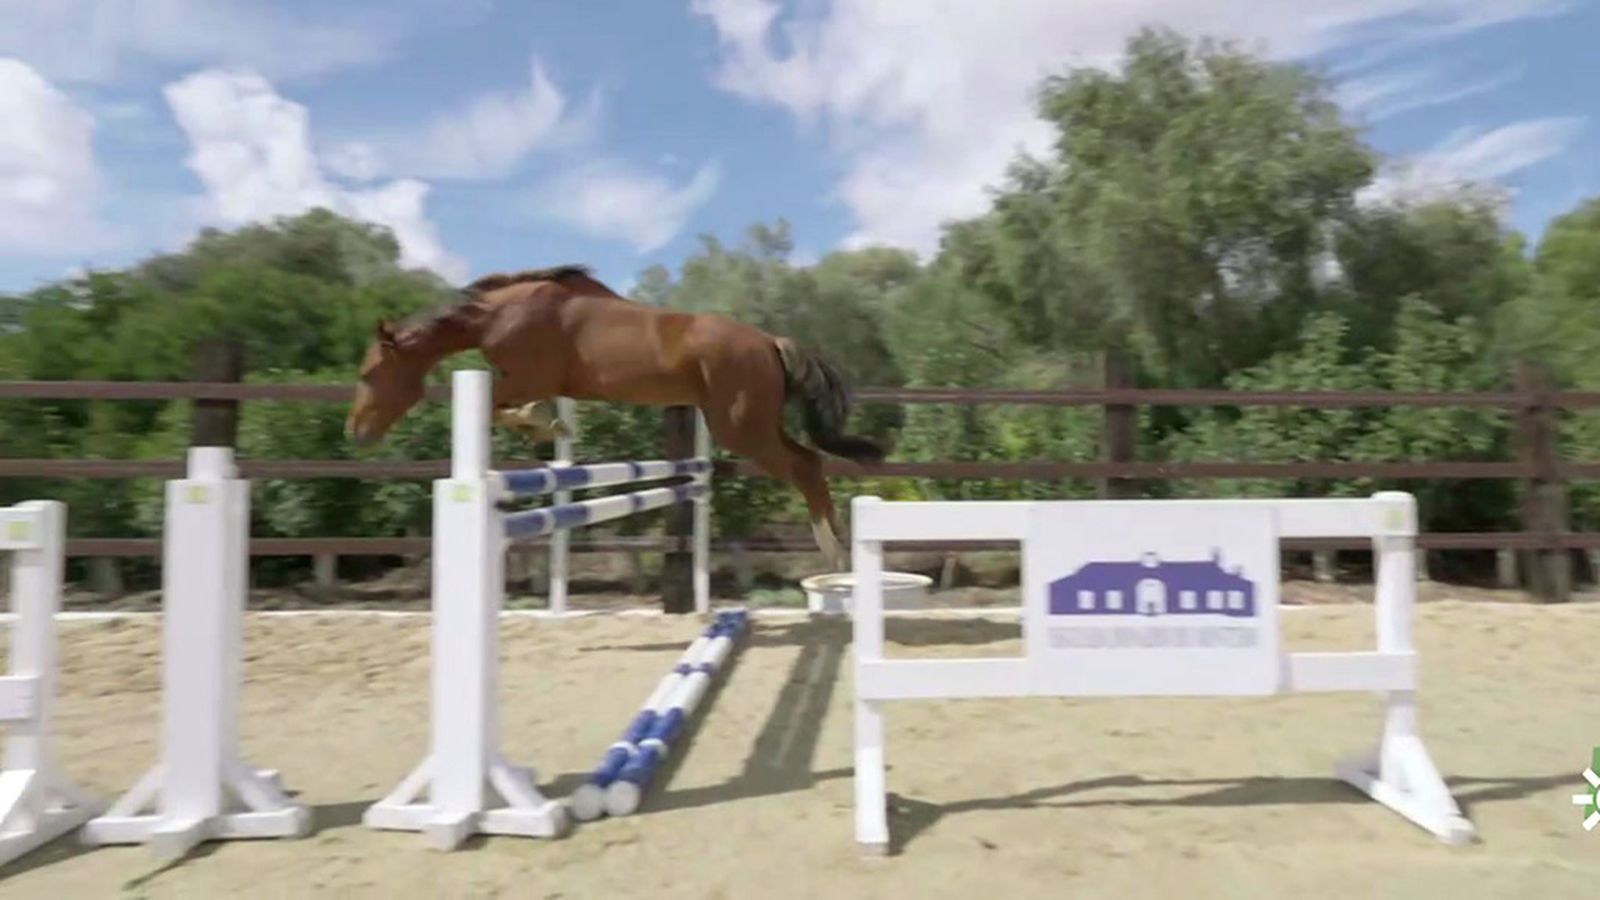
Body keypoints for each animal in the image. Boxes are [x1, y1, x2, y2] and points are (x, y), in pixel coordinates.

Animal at [344, 265, 885, 570]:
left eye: (369, 373)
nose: (356, 431)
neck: (497, 314)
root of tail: (771, 342)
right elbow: (512, 408)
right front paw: (554, 423)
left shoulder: (525, 377)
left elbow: (502, 406)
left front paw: (549, 423)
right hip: (755, 425)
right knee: (809, 461)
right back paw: (838, 549)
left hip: (743, 430)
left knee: (804, 467)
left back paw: (833, 552)